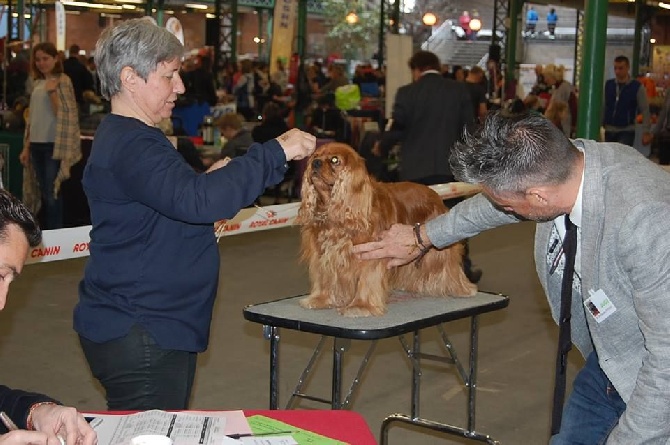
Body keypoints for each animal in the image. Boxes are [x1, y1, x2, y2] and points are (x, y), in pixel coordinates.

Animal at [298, 142, 478, 316]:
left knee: (449, 266)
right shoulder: (323, 253)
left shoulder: (371, 254)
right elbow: (324, 277)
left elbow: (366, 280)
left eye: (335, 160)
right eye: (315, 156)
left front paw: (360, 306)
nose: (315, 162)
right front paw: (321, 299)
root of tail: (435, 194)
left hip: (438, 251)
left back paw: (462, 288)